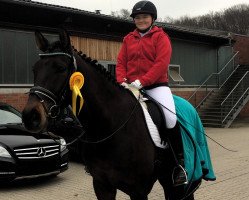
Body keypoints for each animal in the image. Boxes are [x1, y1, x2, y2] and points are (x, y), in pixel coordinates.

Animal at [21, 30, 196, 200]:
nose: (30, 117)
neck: (111, 126)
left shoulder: (138, 190)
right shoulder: (102, 185)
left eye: (60, 68)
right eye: (34, 69)